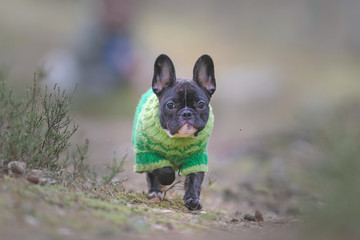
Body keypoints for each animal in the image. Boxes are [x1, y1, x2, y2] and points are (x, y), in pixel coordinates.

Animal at [133, 54, 215, 210]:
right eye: (170, 105)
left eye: (201, 104)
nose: (186, 113)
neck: (178, 138)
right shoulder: (148, 155)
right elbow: (164, 170)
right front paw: (167, 179)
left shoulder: (197, 160)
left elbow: (194, 181)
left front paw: (192, 200)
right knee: (151, 175)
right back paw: (155, 191)